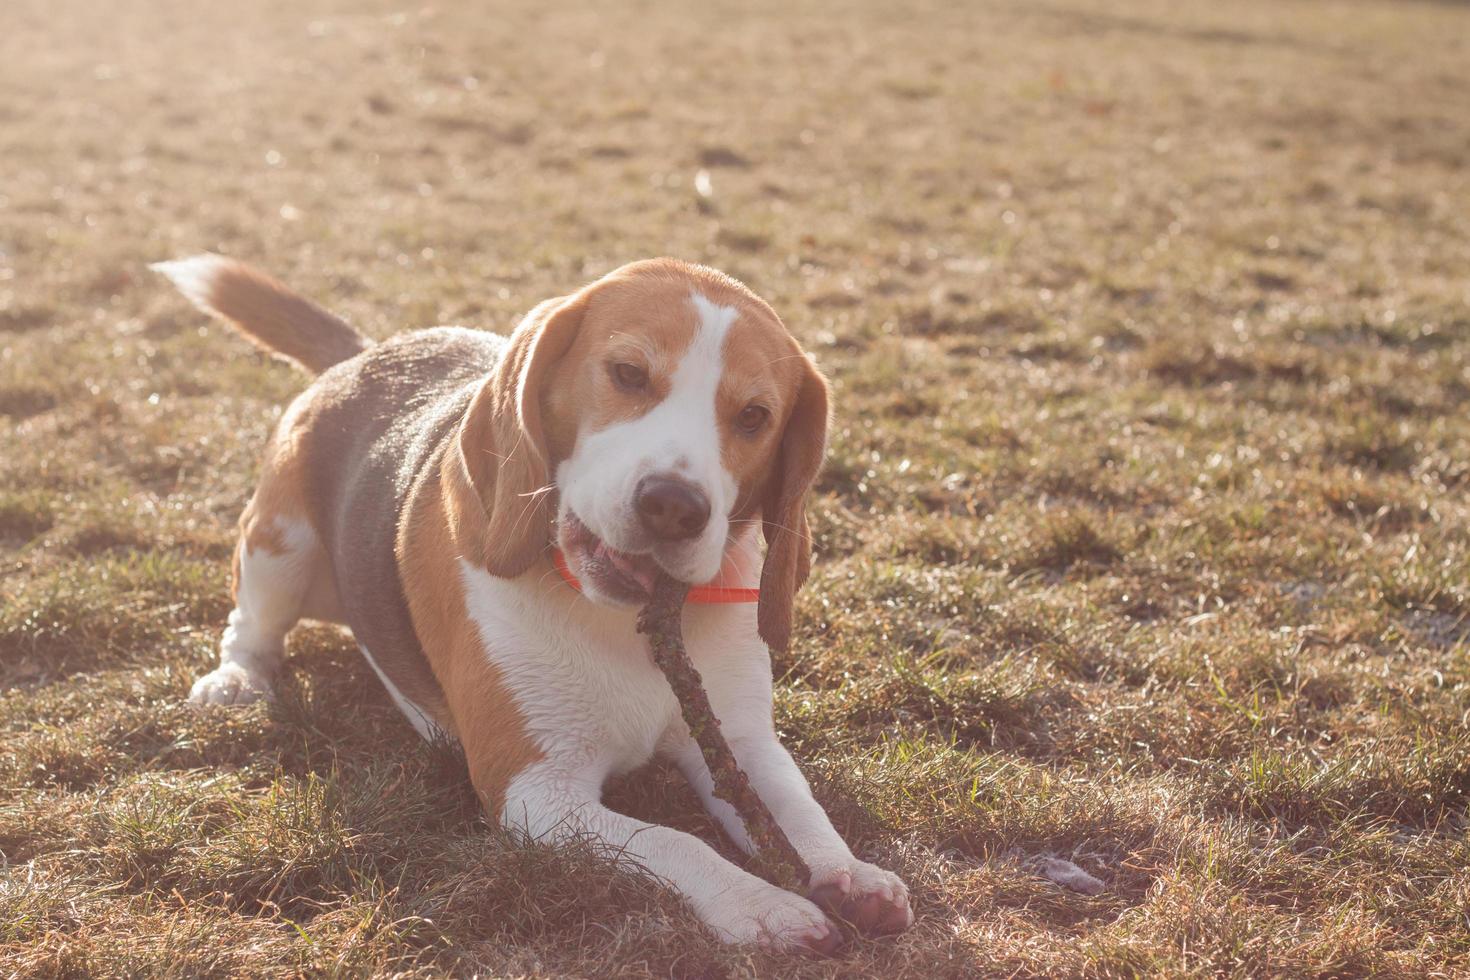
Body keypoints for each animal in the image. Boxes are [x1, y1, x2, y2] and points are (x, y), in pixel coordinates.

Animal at [149, 257, 905, 952]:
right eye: (628, 373)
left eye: (754, 417)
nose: (673, 506)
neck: (620, 620)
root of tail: (365, 353)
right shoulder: (535, 790)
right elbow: (674, 842)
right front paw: (761, 905)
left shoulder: (739, 742)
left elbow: (799, 809)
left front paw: (848, 873)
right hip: (281, 543)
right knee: (251, 623)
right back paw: (237, 680)